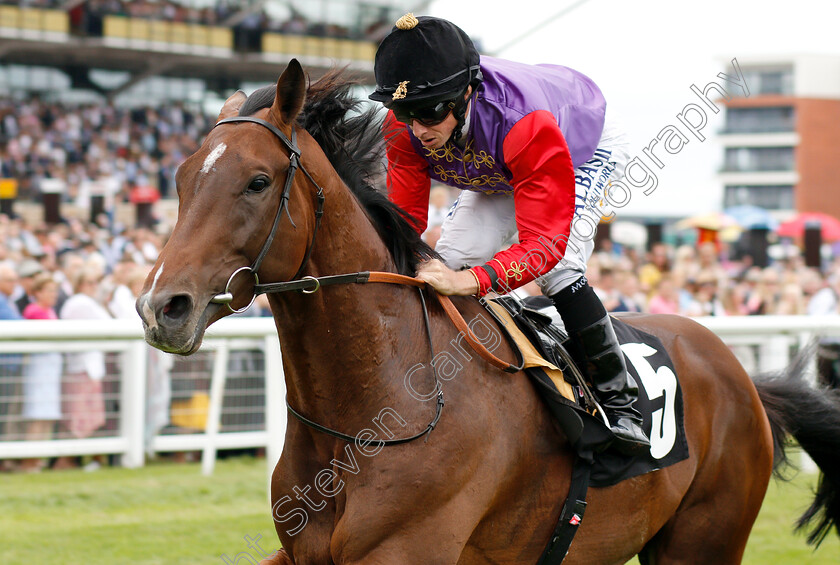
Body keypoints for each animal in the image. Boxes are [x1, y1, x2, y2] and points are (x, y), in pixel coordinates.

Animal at [138, 59, 840, 560]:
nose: (161, 307)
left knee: (562, 268)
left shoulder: (407, 550)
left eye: (257, 182)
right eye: (180, 178)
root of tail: (742, 374)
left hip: (705, 537)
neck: (377, 408)